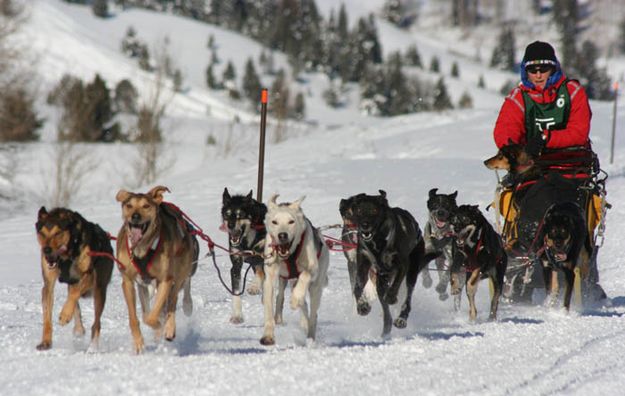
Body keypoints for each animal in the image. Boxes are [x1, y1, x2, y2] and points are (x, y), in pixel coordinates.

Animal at [35, 207, 114, 350]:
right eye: (42, 233)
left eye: (57, 233)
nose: (46, 250)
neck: (66, 256)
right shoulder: (48, 284)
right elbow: (47, 317)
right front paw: (46, 341)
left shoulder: (88, 275)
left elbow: (74, 293)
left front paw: (65, 314)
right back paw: (78, 328)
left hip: (99, 289)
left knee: (96, 323)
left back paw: (93, 347)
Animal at [114, 186, 197, 352]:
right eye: (129, 205)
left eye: (146, 206)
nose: (135, 216)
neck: (141, 249)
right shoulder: (128, 282)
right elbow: (137, 317)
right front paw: (139, 342)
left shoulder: (165, 280)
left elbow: (154, 316)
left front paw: (160, 326)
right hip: (144, 286)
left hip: (179, 274)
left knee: (173, 300)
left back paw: (170, 327)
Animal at [221, 189, 266, 324]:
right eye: (227, 214)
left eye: (239, 214)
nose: (230, 225)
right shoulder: (236, 265)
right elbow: (236, 292)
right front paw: (237, 315)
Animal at [258, 195, 330, 346]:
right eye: (274, 222)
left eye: (291, 221)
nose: (282, 235)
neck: (289, 255)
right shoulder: (270, 278)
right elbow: (268, 308)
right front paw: (268, 336)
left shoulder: (312, 268)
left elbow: (306, 274)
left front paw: (295, 299)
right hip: (287, 281)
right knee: (287, 299)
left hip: (316, 287)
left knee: (313, 314)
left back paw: (310, 337)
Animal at [348, 189, 436, 338]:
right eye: (359, 210)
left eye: (374, 210)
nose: (365, 225)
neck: (377, 242)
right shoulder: (363, 265)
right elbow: (358, 287)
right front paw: (362, 306)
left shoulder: (402, 265)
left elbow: (395, 286)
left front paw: (391, 297)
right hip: (380, 281)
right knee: (386, 310)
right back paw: (386, 329)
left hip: (411, 271)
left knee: (407, 297)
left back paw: (401, 318)